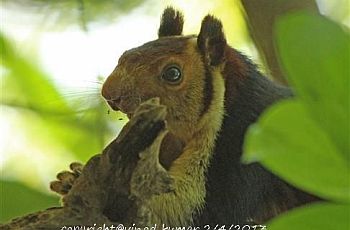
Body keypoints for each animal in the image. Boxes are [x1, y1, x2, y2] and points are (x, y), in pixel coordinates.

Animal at [51, 6, 318, 226]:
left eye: (173, 73)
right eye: (124, 54)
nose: (110, 93)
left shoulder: (247, 146)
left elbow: (186, 213)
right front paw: (71, 178)